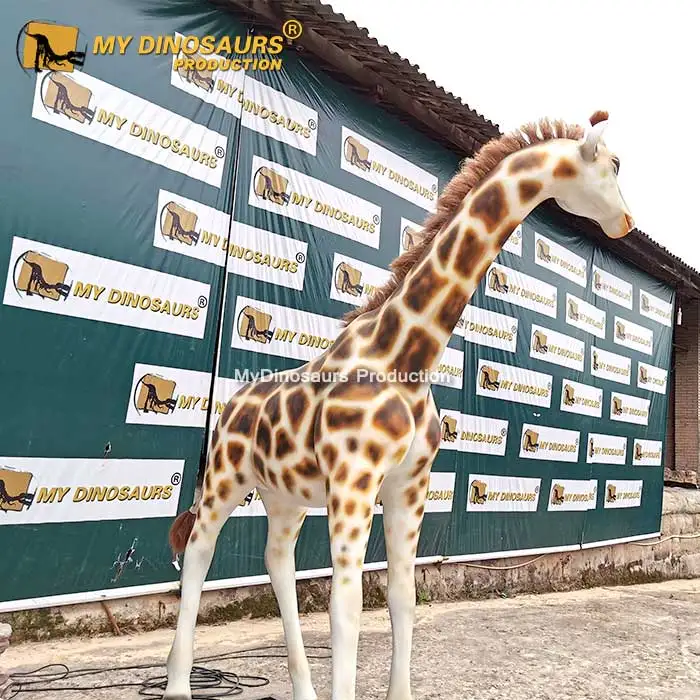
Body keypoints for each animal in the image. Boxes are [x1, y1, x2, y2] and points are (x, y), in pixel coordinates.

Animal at [163, 111, 634, 700]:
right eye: (613, 165)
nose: (626, 223)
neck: (405, 355)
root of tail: (227, 407)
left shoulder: (409, 485)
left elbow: (401, 598)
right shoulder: (353, 481)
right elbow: (346, 609)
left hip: (284, 496)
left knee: (277, 562)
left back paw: (300, 688)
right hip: (225, 479)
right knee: (197, 556)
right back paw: (178, 684)